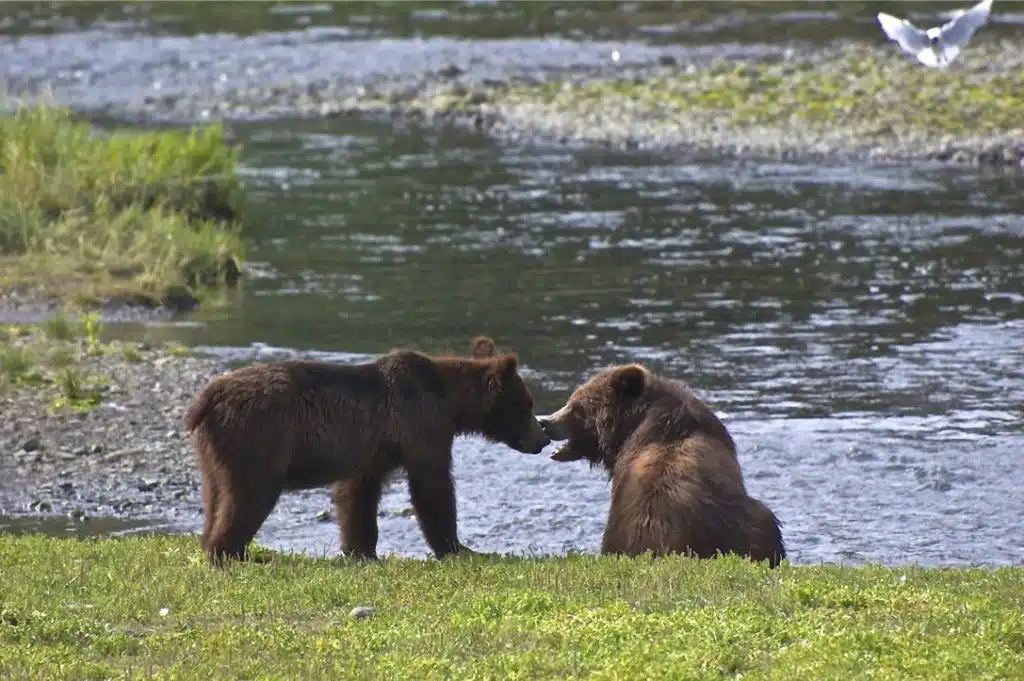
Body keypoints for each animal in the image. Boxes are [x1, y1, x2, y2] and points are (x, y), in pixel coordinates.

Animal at [183, 336, 550, 565]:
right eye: (528, 403)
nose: (542, 438)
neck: (451, 403)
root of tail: (208, 396)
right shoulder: (420, 426)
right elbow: (432, 487)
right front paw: (459, 547)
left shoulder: (372, 451)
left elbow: (357, 496)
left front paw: (361, 550)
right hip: (259, 439)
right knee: (249, 496)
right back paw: (236, 553)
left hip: (214, 449)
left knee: (216, 495)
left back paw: (221, 547)